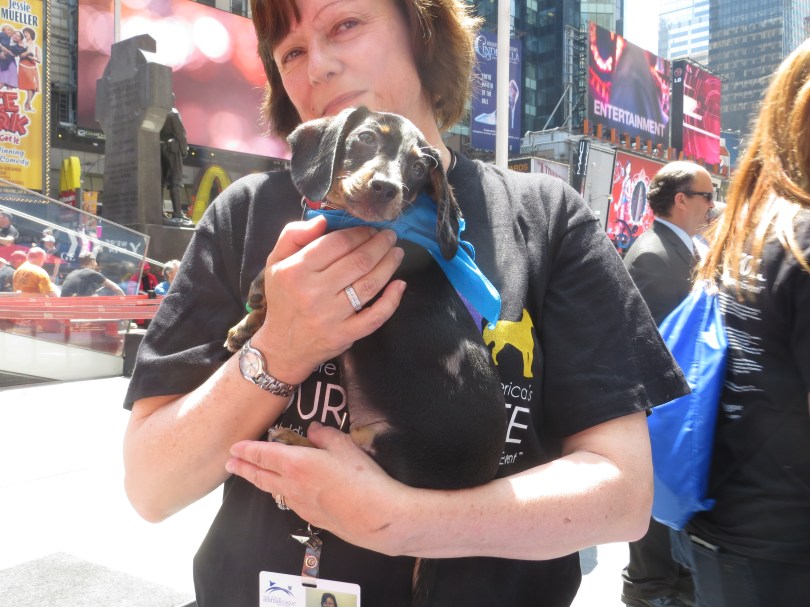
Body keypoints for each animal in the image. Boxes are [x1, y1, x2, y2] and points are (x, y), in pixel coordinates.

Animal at [226, 107, 506, 605]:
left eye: (419, 167)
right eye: (366, 139)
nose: (385, 189)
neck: (347, 219)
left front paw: (258, 294)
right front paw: (246, 326)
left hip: (388, 446)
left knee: (348, 455)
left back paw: (292, 440)